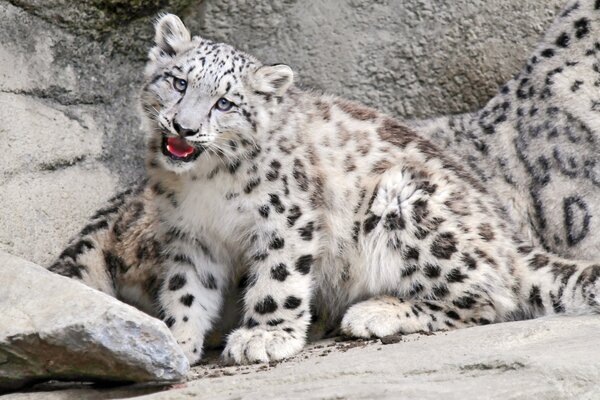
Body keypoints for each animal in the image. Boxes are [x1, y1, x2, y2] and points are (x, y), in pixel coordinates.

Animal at [50, 12, 600, 364]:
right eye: (178, 82)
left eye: (225, 103)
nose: (183, 128)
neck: (205, 186)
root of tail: (509, 238)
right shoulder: (190, 237)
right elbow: (187, 290)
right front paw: (177, 341)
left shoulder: (285, 216)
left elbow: (278, 280)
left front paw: (263, 338)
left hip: (406, 202)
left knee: (490, 297)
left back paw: (374, 313)